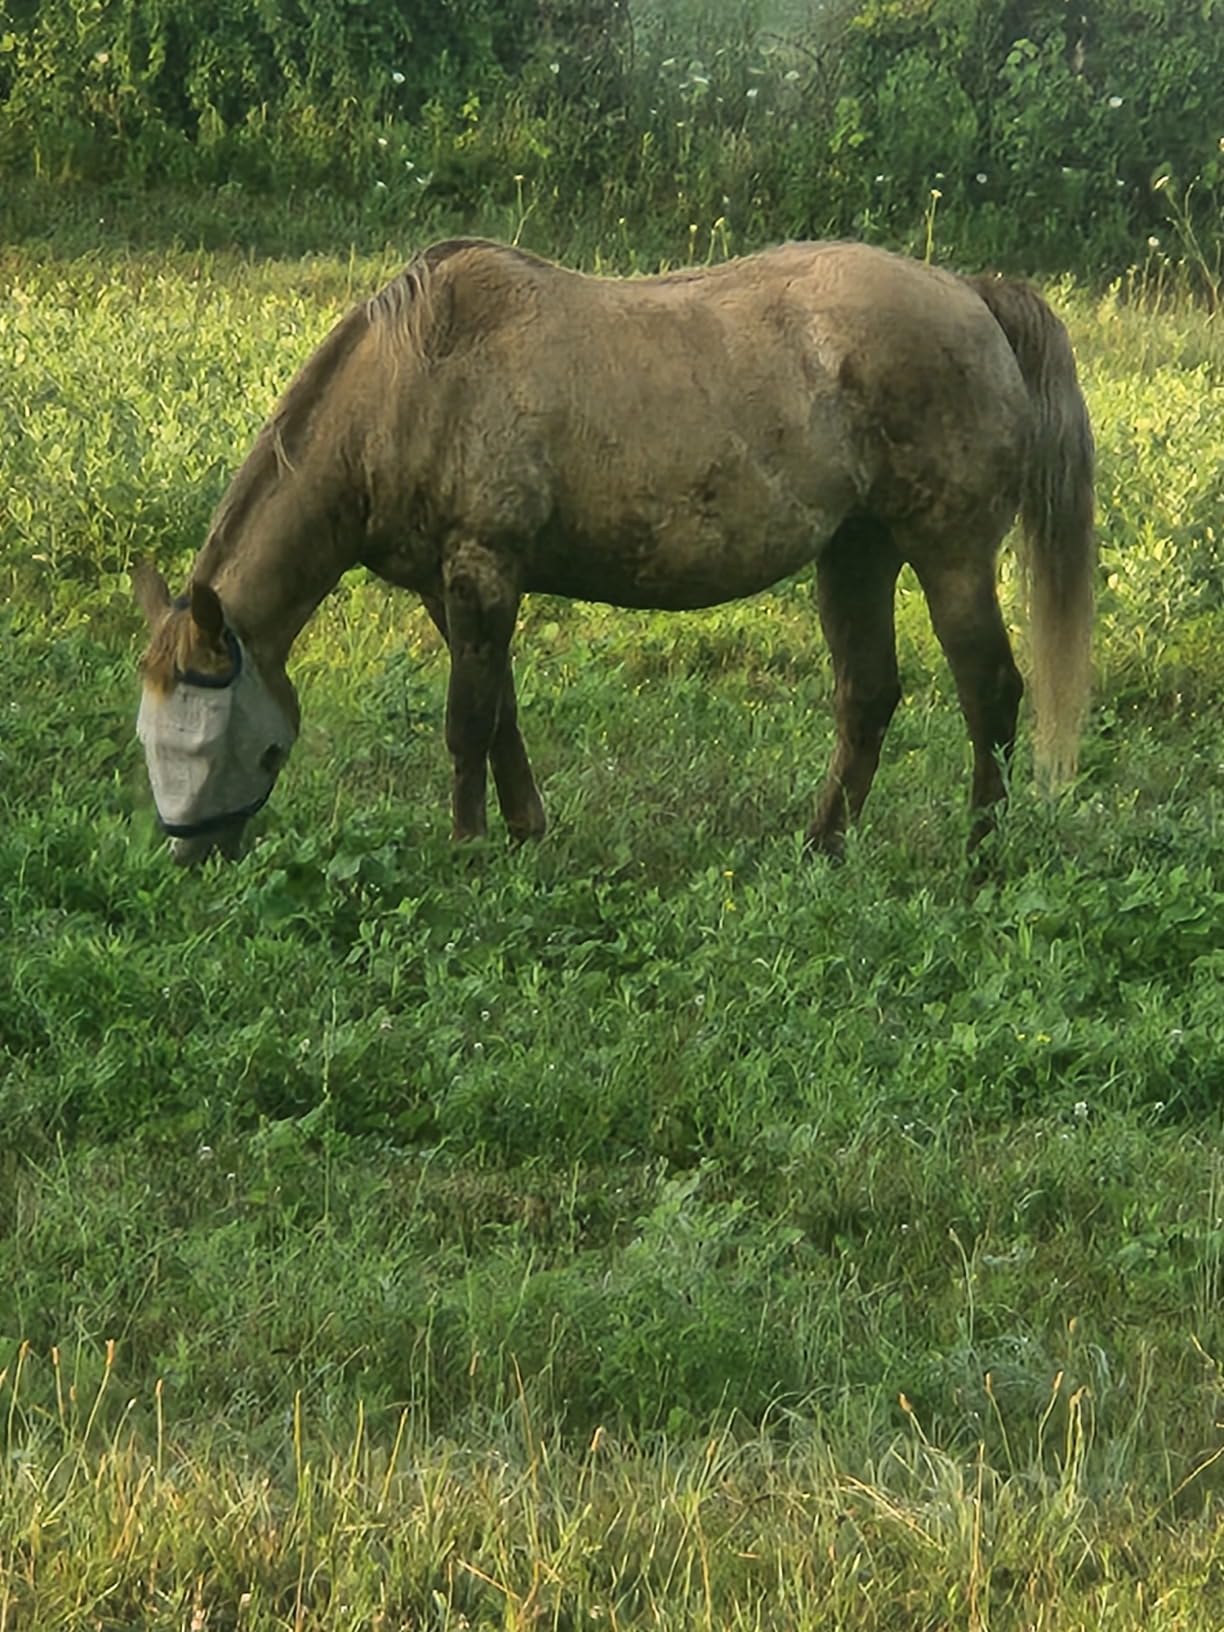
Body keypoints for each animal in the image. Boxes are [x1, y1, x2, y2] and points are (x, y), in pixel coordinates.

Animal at [133, 237, 1095, 867]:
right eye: (150, 739)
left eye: (226, 745)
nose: (190, 860)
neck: (415, 384)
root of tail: (971, 293)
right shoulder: (455, 591)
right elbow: (501, 711)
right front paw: (526, 831)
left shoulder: (483, 573)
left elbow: (466, 721)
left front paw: (468, 849)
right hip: (856, 555)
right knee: (868, 696)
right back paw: (822, 845)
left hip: (950, 556)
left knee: (990, 690)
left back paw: (978, 854)